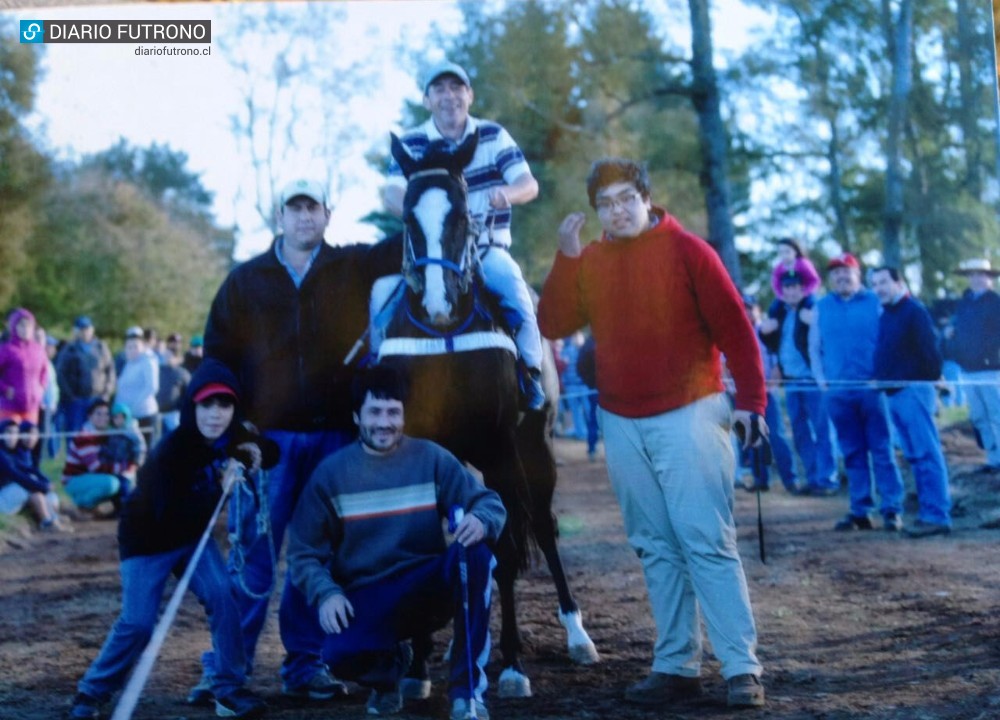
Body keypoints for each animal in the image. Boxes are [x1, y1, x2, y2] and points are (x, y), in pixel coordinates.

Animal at [372, 131, 596, 696]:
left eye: (460, 215)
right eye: (408, 216)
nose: (437, 300)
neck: (444, 337)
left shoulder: (498, 447)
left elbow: (510, 548)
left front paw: (514, 666)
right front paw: (416, 668)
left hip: (535, 447)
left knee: (541, 526)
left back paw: (576, 634)